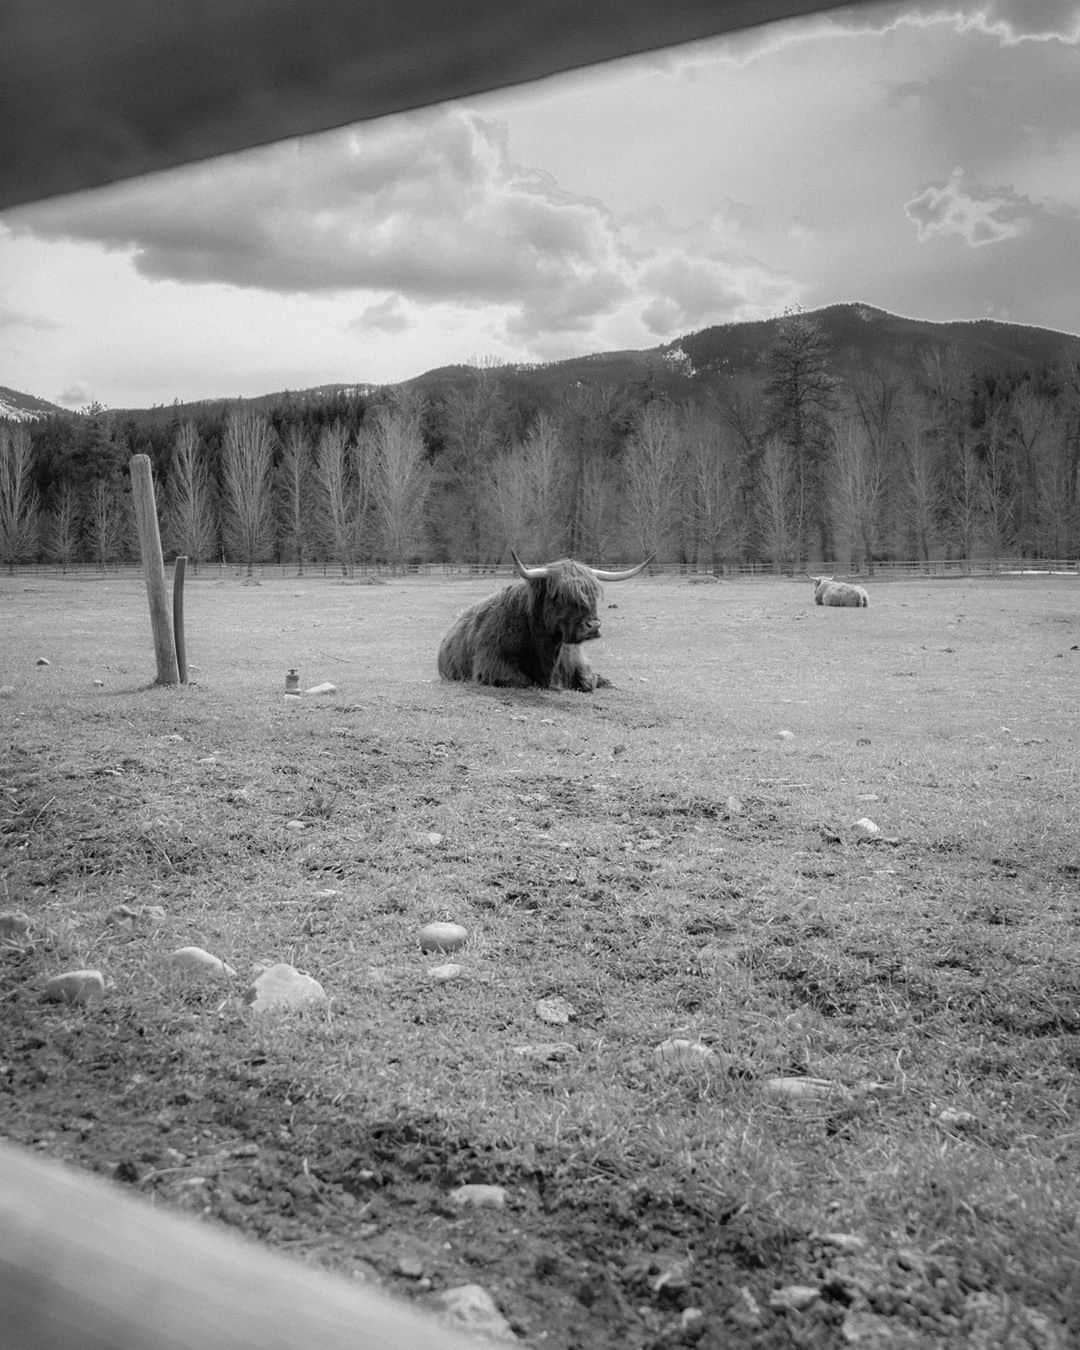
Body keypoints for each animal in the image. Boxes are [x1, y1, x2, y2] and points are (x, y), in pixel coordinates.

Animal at [437, 550, 650, 691]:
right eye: (561, 596)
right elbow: (525, 681)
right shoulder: (492, 668)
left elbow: (589, 681)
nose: (593, 626)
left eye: (593, 594)